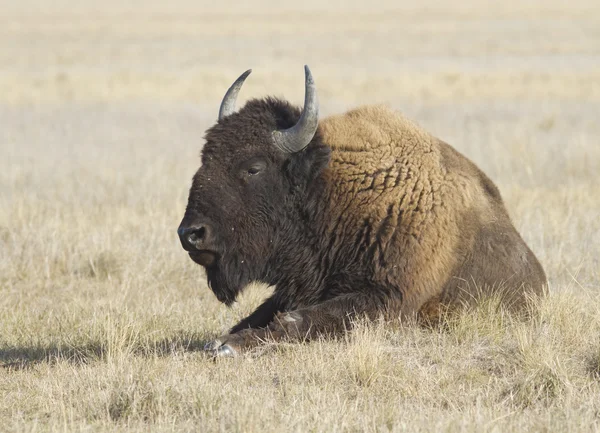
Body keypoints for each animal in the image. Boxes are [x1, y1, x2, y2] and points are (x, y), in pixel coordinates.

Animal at [176, 66, 548, 356]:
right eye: (204, 158)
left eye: (254, 167)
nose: (190, 233)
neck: (329, 192)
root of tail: (538, 278)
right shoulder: (292, 290)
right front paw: (220, 341)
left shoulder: (389, 298)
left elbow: (298, 320)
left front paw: (230, 347)